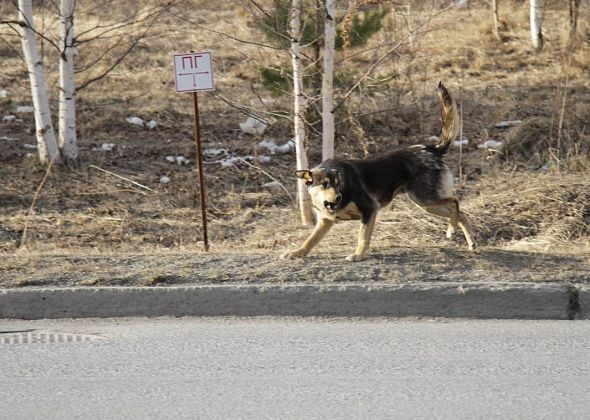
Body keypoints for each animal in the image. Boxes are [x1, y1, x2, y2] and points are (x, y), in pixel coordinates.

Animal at [280, 80, 478, 260]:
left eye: (337, 184)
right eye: (324, 184)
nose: (338, 198)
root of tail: (432, 149)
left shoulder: (369, 210)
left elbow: (363, 237)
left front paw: (358, 255)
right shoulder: (325, 222)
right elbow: (310, 241)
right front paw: (297, 252)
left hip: (425, 198)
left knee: (455, 202)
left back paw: (451, 229)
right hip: (425, 204)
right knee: (461, 213)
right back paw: (470, 242)